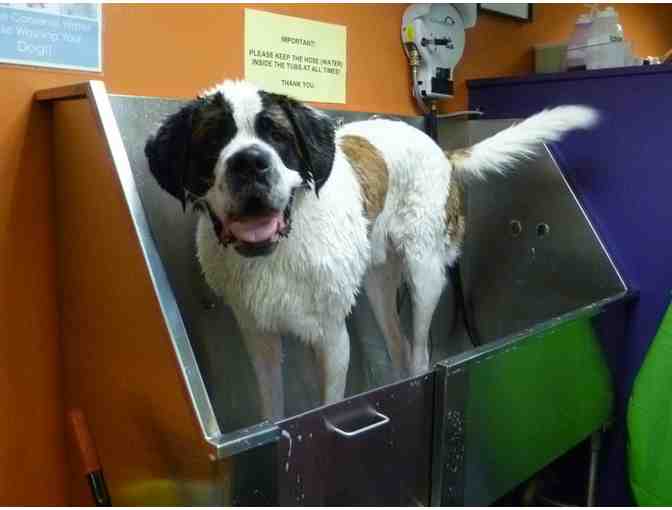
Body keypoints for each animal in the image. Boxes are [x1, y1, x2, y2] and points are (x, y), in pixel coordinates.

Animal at [146, 79, 600, 420]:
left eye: (277, 136)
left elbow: (329, 403)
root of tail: (440, 150)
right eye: (212, 140)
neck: (281, 249)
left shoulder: (332, 338)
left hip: (425, 276)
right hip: (379, 286)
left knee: (418, 350)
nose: (250, 162)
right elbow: (272, 408)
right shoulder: (258, 336)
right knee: (397, 346)